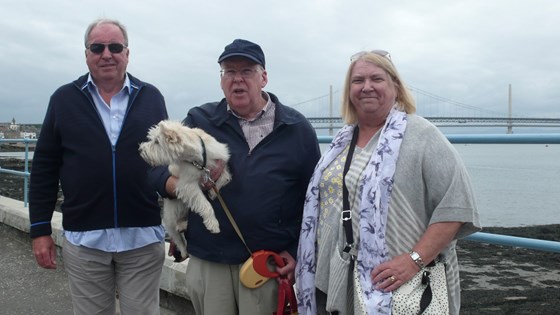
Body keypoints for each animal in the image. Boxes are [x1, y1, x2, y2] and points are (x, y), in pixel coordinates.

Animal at [140, 121, 232, 262]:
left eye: (156, 141)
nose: (140, 149)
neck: (198, 157)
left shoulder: (220, 163)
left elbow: (226, 177)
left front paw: (213, 191)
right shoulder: (188, 185)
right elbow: (205, 204)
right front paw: (213, 224)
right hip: (170, 220)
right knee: (178, 239)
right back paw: (183, 251)